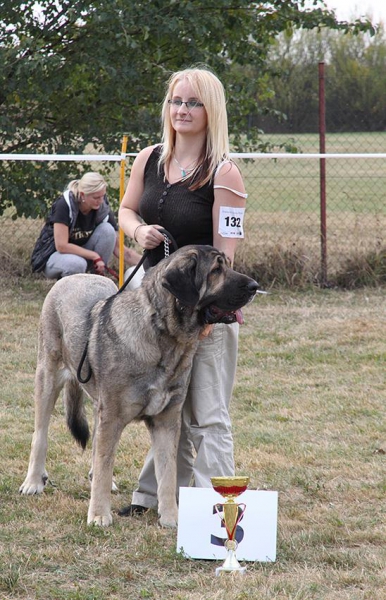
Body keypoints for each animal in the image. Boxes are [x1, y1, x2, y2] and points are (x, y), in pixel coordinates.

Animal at [19, 244, 258, 524]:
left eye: (226, 265)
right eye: (216, 270)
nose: (255, 286)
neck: (164, 335)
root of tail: (74, 276)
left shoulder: (166, 421)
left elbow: (166, 474)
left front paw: (171, 518)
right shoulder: (112, 416)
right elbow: (104, 459)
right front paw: (99, 515)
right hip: (48, 377)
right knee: (40, 434)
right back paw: (33, 481)